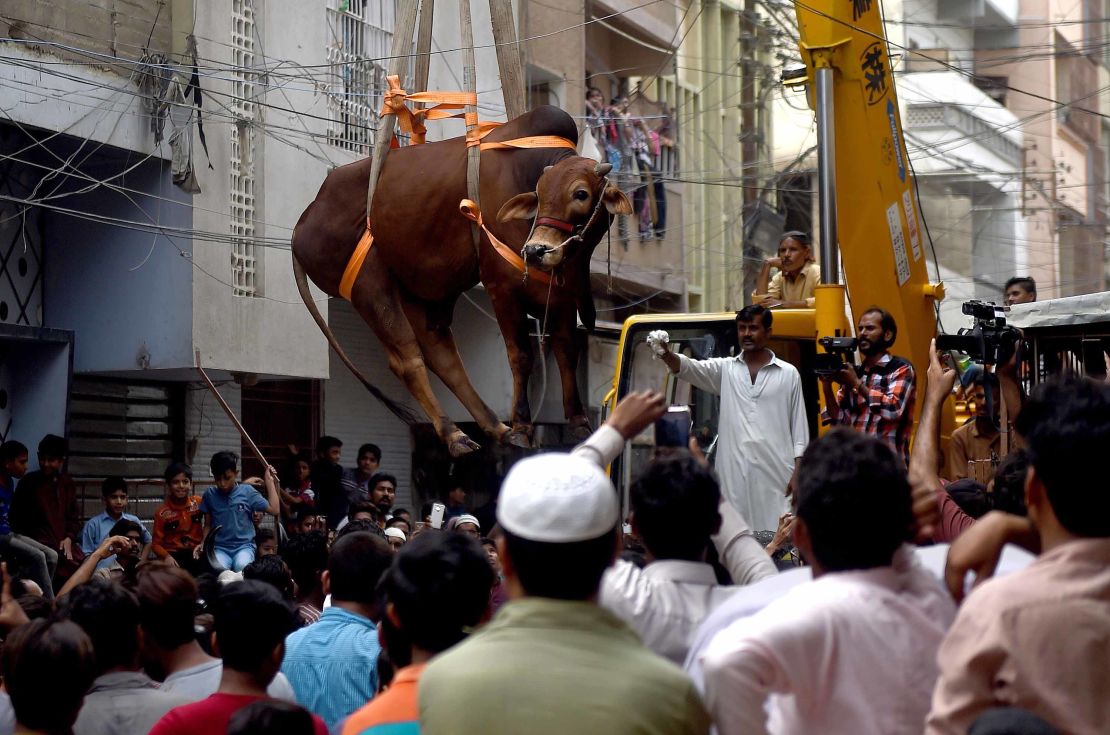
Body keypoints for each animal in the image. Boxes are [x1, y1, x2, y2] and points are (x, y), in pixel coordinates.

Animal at [290, 106, 630, 457]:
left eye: (581, 194)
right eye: (539, 195)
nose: (536, 251)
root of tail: (303, 224)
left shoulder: (561, 294)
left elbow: (566, 352)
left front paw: (579, 423)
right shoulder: (501, 287)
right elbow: (520, 355)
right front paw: (523, 427)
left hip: (422, 295)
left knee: (445, 359)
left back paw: (493, 427)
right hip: (370, 288)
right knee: (408, 361)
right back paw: (456, 433)